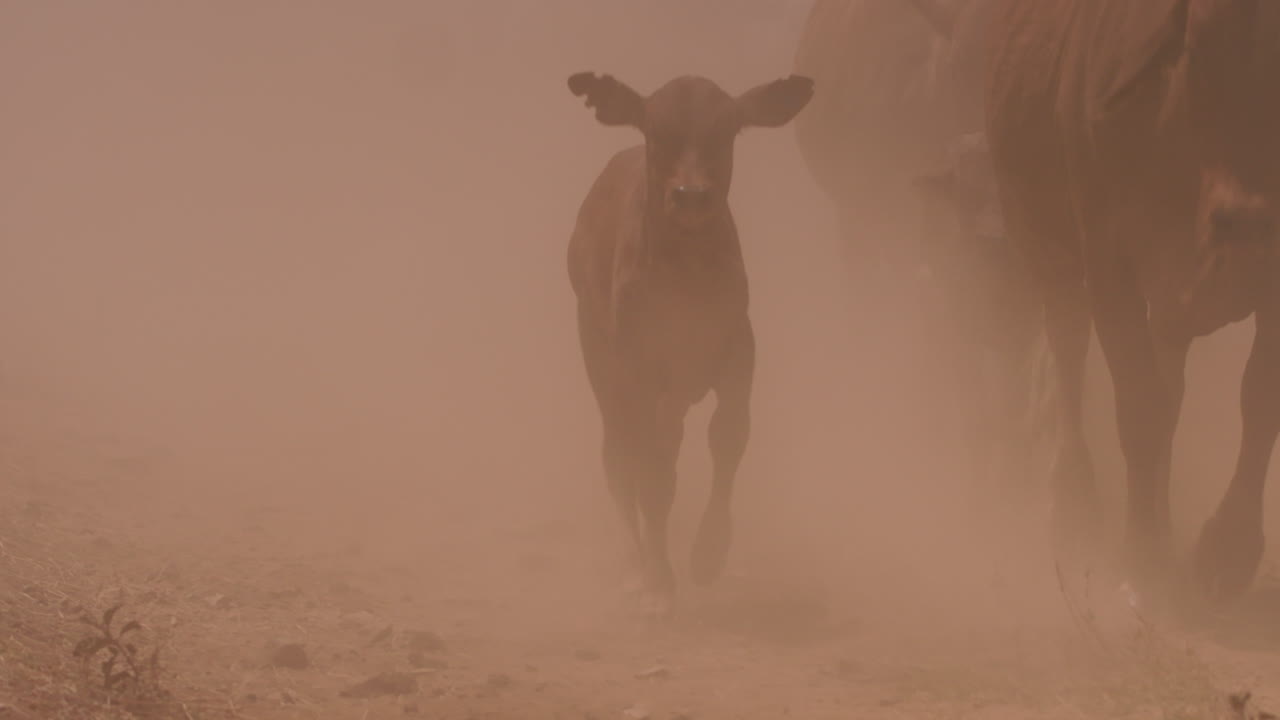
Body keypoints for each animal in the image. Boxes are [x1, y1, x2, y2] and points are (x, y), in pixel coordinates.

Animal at [565, 72, 813, 615]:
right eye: (655, 130)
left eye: (728, 130)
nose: (692, 194)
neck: (687, 277)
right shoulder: (636, 367)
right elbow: (651, 471)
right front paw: (659, 582)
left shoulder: (739, 349)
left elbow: (729, 435)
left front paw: (709, 552)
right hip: (599, 356)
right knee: (619, 456)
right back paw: (635, 564)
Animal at [986, 0, 1280, 604]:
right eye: (1198, 41)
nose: (1249, 223)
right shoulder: (1107, 260)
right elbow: (1141, 408)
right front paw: (1143, 555)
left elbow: (1261, 399)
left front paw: (1227, 550)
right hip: (1045, 247)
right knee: (1069, 347)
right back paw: (1073, 502)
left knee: (1171, 383)